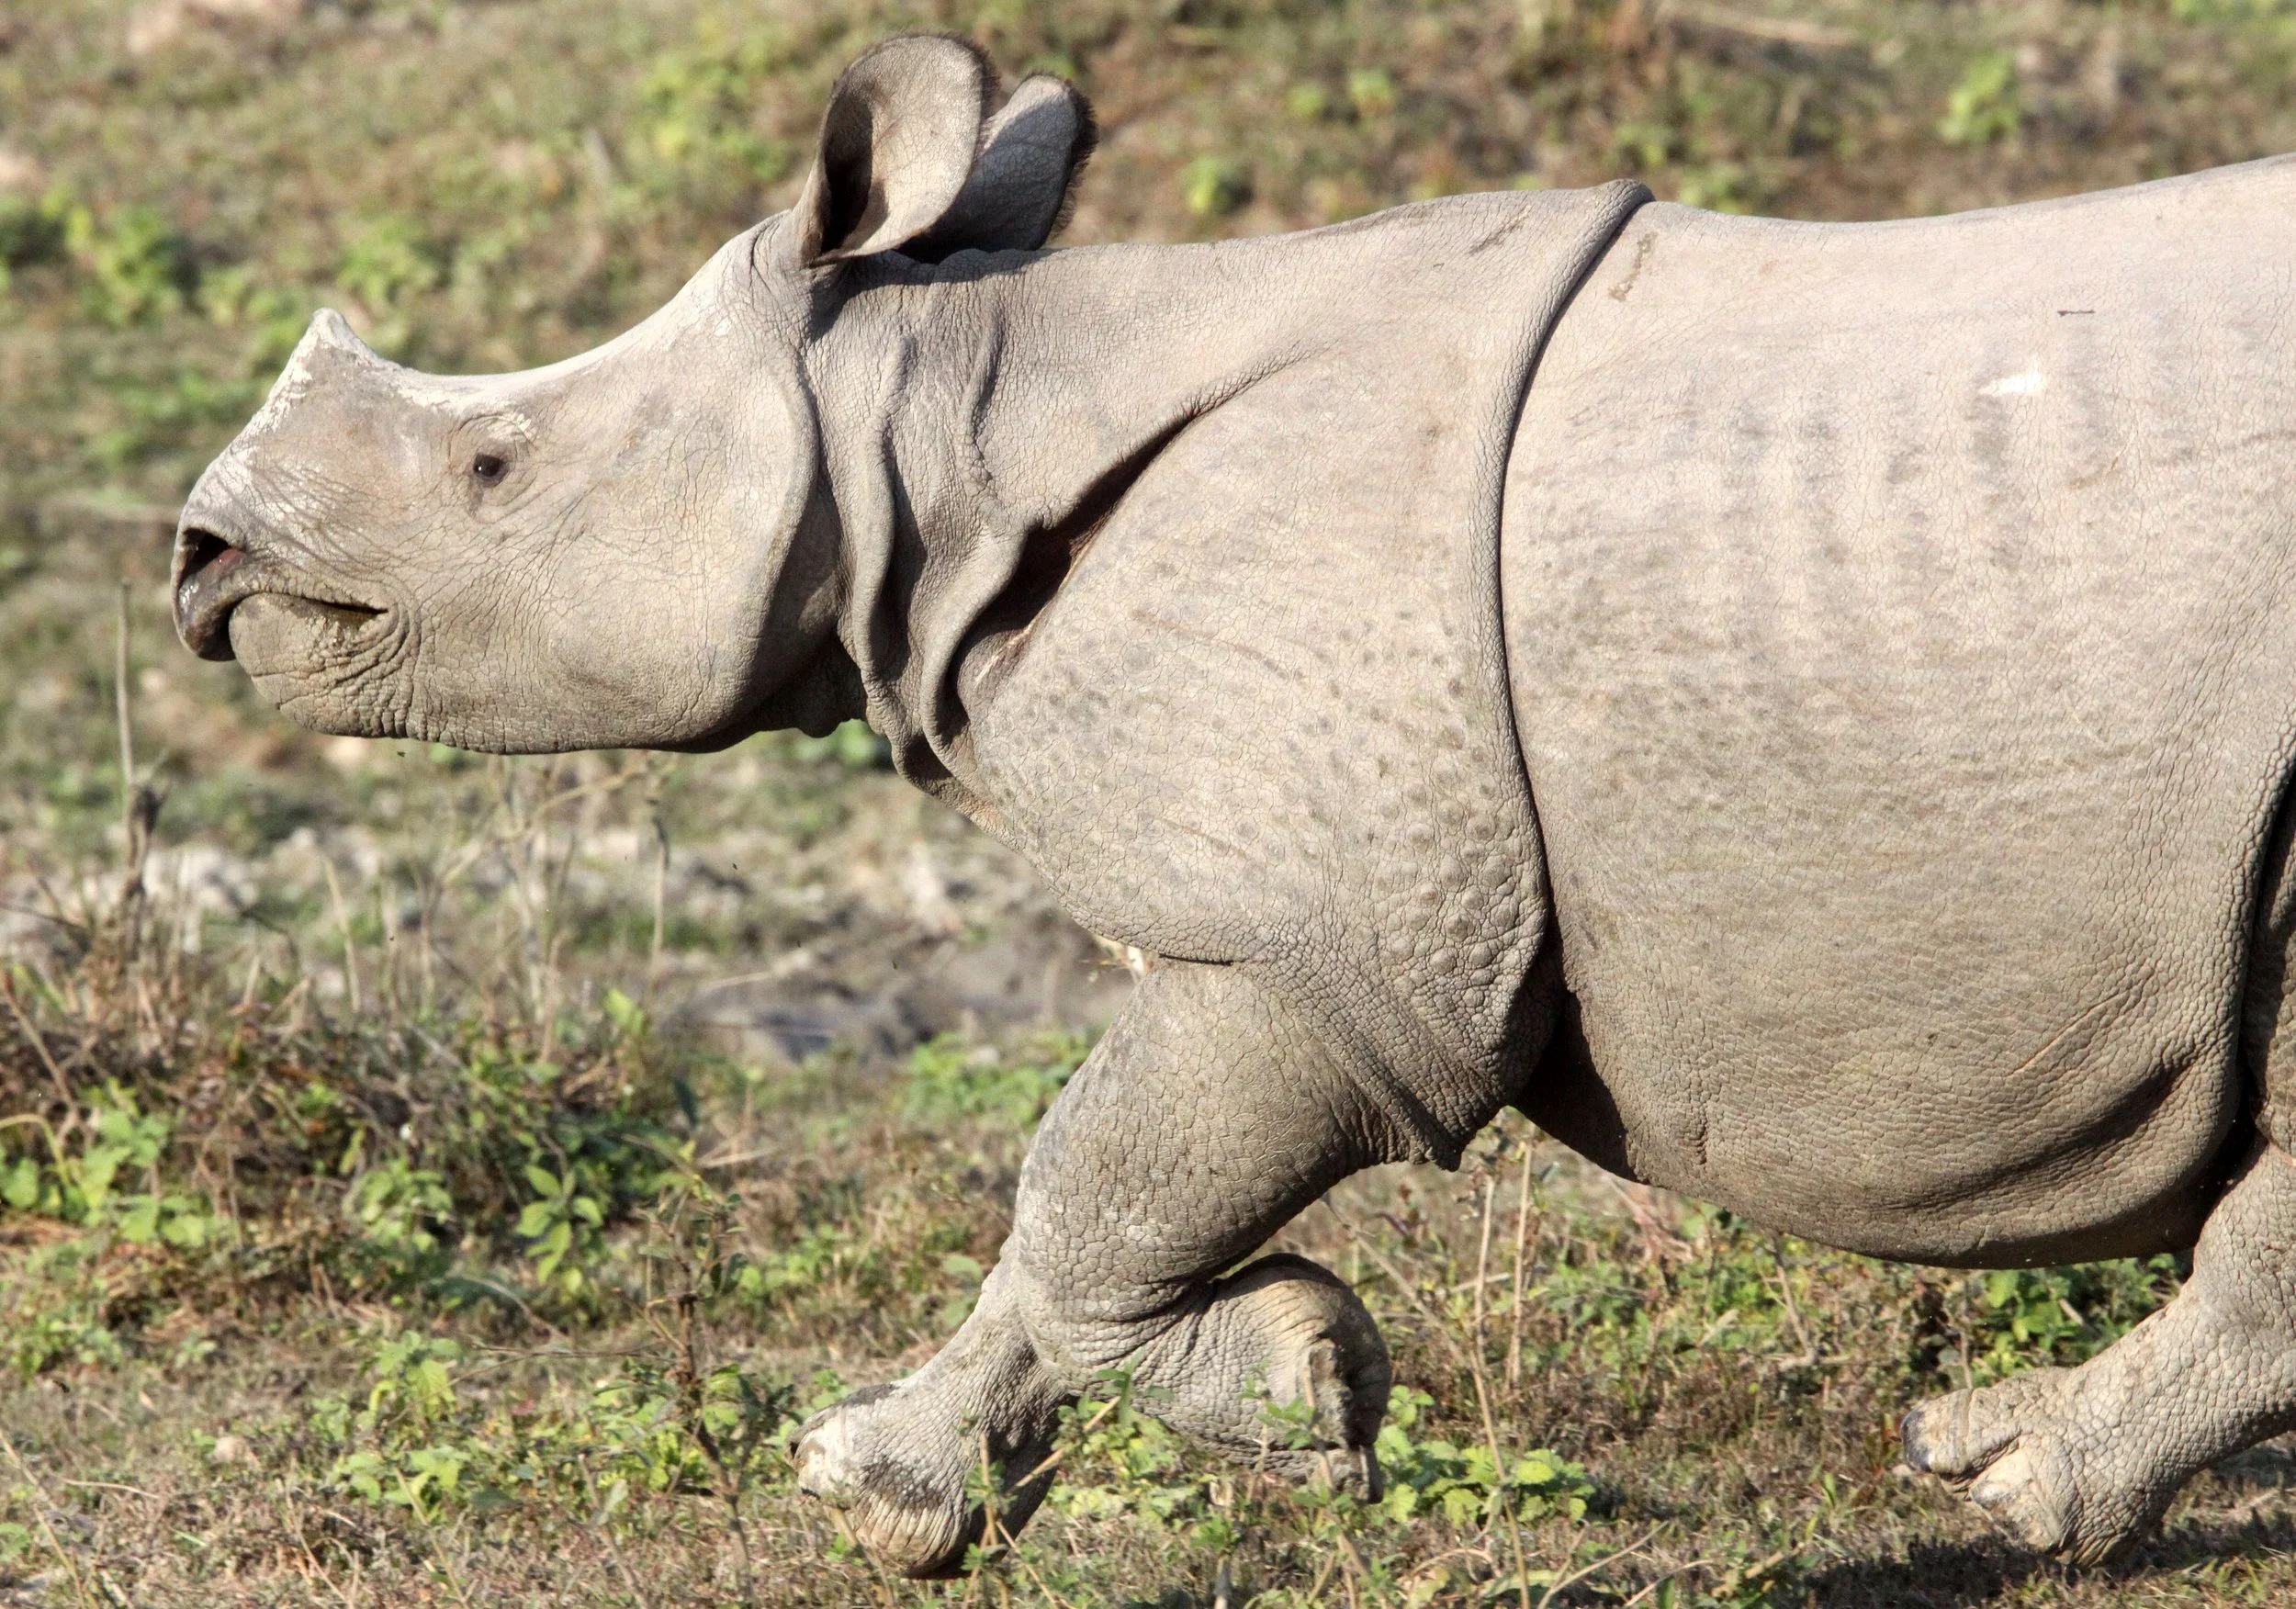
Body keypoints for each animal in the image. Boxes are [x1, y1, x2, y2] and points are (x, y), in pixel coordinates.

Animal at [170, 32, 2296, 1575]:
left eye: (496, 468)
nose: (204, 562)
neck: (940, 420)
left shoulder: (1323, 944)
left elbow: (1088, 1185)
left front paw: (1290, 1390)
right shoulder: (1304, 919)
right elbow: (1074, 1203)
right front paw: (889, 1476)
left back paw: (1999, 1484)